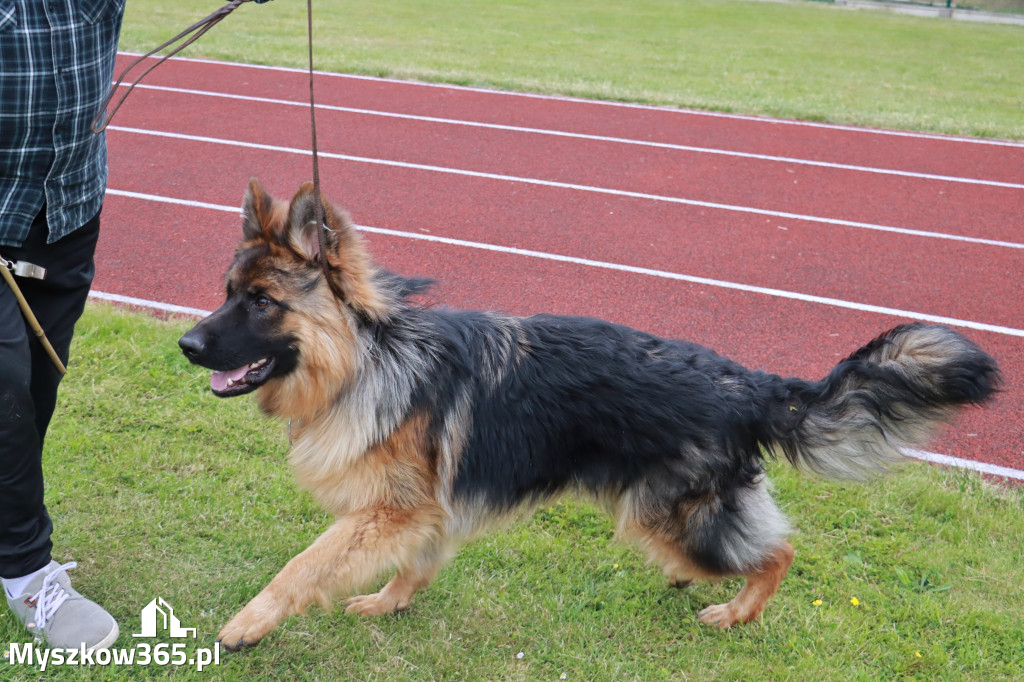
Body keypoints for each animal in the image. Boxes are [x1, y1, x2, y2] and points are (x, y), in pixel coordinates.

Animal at [178, 179, 999, 647]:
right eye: (227, 291)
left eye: (263, 302)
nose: (186, 344)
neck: (370, 358)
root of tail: (748, 384)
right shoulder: (431, 511)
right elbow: (418, 564)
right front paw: (389, 603)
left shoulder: (391, 510)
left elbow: (304, 564)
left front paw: (248, 625)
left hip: (671, 517)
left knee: (779, 554)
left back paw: (734, 614)